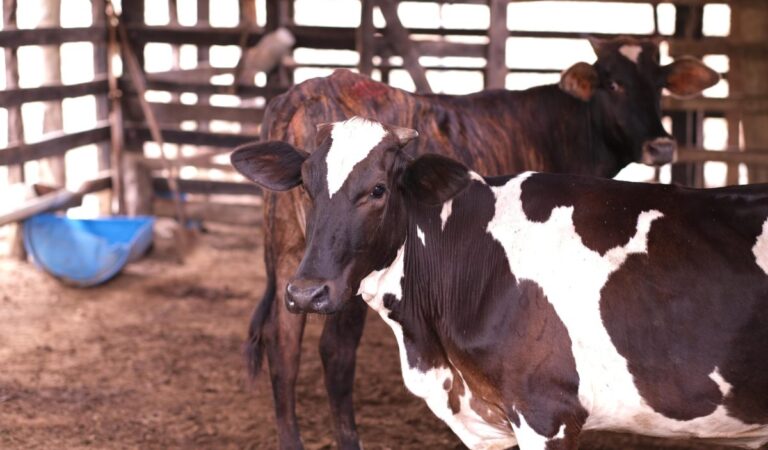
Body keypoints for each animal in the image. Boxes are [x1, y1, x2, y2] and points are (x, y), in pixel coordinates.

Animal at [246, 39, 720, 450]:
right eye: (615, 83)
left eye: (659, 84)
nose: (661, 146)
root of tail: (303, 91)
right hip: (342, 274)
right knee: (336, 352)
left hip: (294, 256)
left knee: (283, 344)